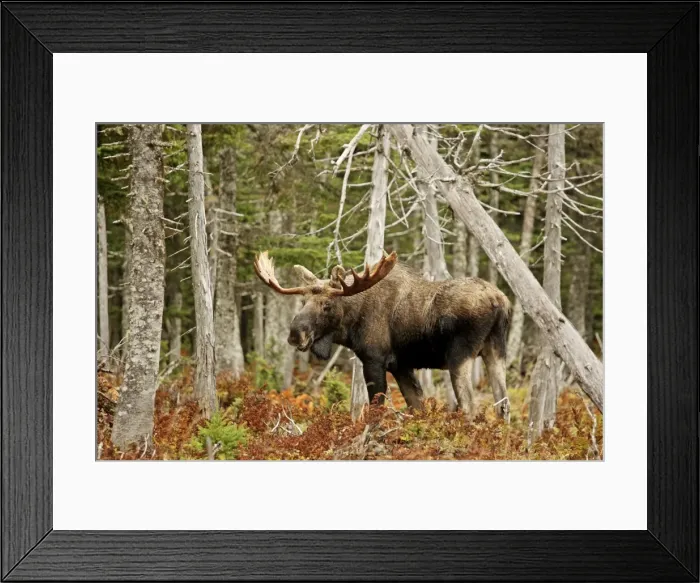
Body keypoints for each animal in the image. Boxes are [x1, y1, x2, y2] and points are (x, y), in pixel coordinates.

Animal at [253, 250, 511, 422]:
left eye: (327, 305)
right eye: (303, 301)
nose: (295, 334)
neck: (351, 324)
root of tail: (499, 302)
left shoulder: (374, 359)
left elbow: (377, 409)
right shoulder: (401, 365)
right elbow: (417, 407)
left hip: (459, 355)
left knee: (469, 406)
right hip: (495, 350)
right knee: (503, 405)